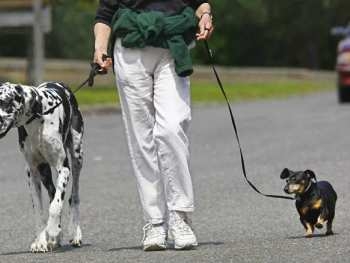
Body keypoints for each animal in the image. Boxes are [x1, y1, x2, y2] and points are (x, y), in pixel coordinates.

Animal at [0, 81, 84, 253]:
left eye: (4, 102)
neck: (36, 120)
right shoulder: (32, 173)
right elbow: (39, 210)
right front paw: (41, 240)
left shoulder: (63, 168)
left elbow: (56, 205)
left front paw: (51, 229)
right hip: (44, 171)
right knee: (53, 193)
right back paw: (55, 238)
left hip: (77, 158)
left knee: (73, 197)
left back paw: (75, 233)